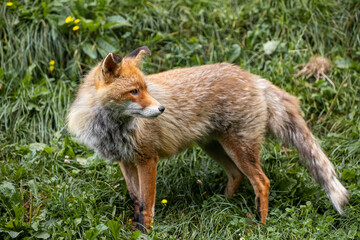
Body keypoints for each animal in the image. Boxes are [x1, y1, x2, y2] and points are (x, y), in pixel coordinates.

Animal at [67, 45, 348, 232]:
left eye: (146, 89)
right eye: (134, 91)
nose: (161, 109)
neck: (113, 128)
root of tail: (253, 78)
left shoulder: (148, 159)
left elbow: (147, 204)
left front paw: (146, 233)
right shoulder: (125, 161)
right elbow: (136, 200)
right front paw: (135, 230)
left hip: (238, 147)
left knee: (262, 182)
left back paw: (260, 224)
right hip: (213, 146)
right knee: (236, 175)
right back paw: (221, 205)